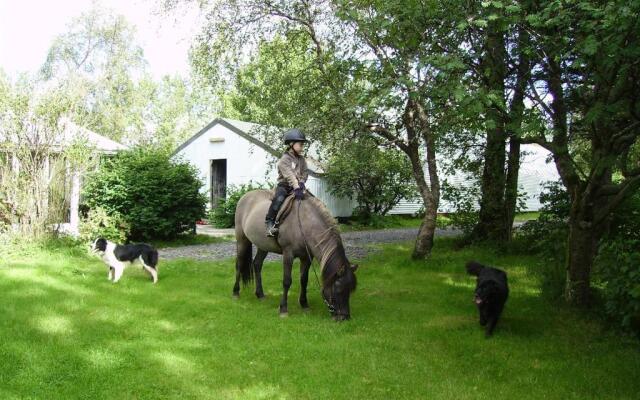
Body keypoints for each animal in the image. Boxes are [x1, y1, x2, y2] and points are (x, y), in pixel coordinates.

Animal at [234, 191, 358, 322]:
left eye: (350, 289)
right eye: (338, 289)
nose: (345, 317)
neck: (304, 223)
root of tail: (245, 196)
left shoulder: (307, 257)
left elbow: (304, 280)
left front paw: (304, 304)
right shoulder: (288, 254)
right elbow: (287, 281)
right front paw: (283, 309)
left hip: (263, 245)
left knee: (257, 264)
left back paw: (260, 294)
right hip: (242, 239)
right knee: (239, 264)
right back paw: (235, 293)